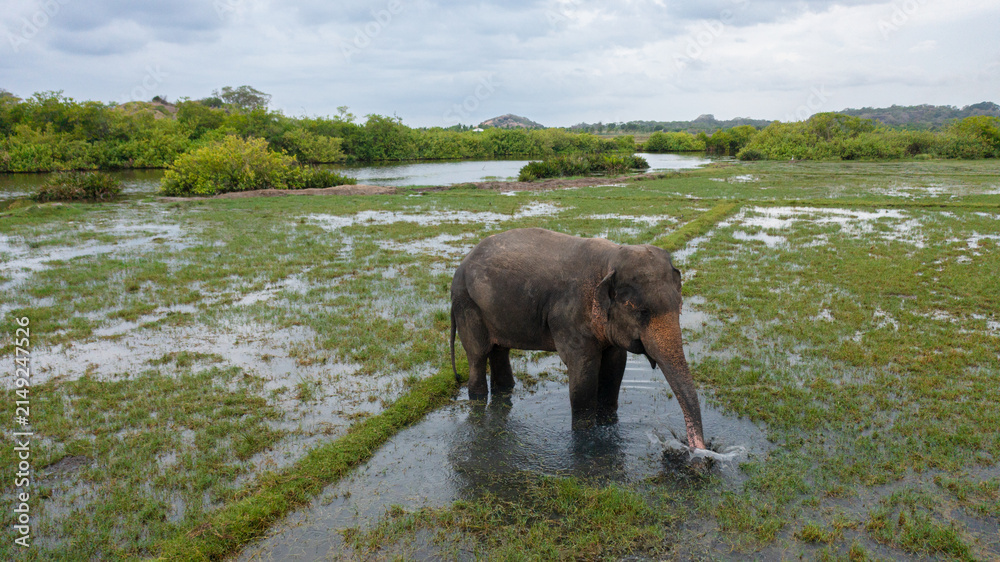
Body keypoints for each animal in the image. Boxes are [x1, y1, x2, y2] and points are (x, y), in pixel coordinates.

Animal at [449, 227, 706, 450]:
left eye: (679, 306)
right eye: (643, 312)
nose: (695, 448)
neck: (609, 260)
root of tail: (460, 265)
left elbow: (615, 366)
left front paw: (608, 424)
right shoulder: (568, 316)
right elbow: (584, 372)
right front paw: (585, 437)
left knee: (499, 351)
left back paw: (504, 391)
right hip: (467, 304)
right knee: (478, 355)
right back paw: (477, 402)